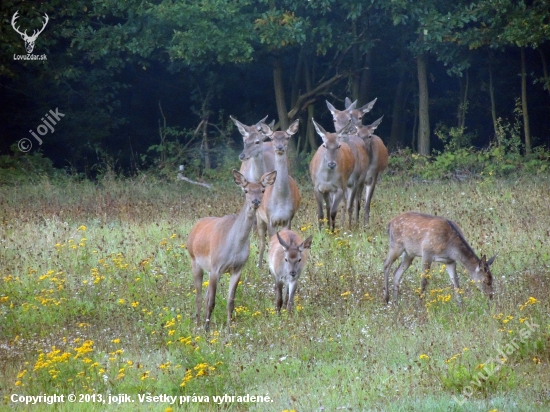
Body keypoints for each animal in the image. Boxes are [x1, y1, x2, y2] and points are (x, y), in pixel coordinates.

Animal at [188, 169, 278, 330]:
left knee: (204, 296)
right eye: (246, 190)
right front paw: (207, 329)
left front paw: (229, 329)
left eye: (262, 190)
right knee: (198, 296)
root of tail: (195, 228)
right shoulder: (216, 267)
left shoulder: (237, 268)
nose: (256, 201)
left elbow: (231, 302)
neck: (233, 247)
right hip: (195, 260)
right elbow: (212, 302)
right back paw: (198, 324)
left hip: (208, 269)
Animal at [258, 119, 304, 268]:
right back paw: (259, 265)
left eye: (287, 137)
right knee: (262, 242)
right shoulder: (270, 218)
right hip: (259, 217)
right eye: (272, 137)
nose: (279, 147)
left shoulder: (288, 218)